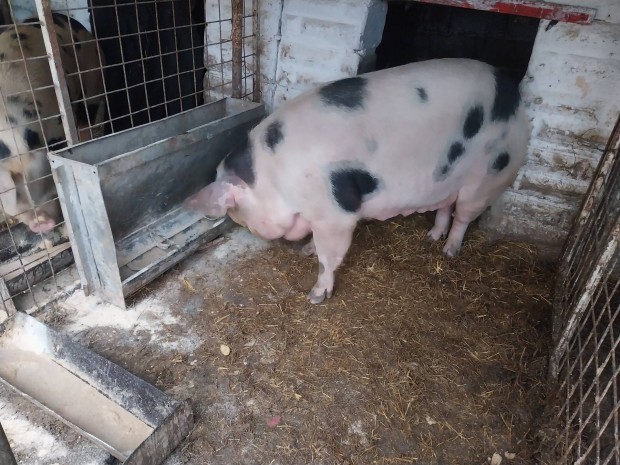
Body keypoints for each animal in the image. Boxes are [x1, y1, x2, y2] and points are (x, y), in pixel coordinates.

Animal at [188, 58, 528, 302]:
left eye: (239, 213)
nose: (254, 230)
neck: (274, 175)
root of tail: (510, 87)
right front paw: (306, 251)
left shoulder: (335, 213)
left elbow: (329, 256)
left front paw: (316, 296)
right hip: (447, 178)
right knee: (445, 207)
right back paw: (432, 238)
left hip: (491, 174)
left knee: (464, 215)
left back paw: (449, 251)